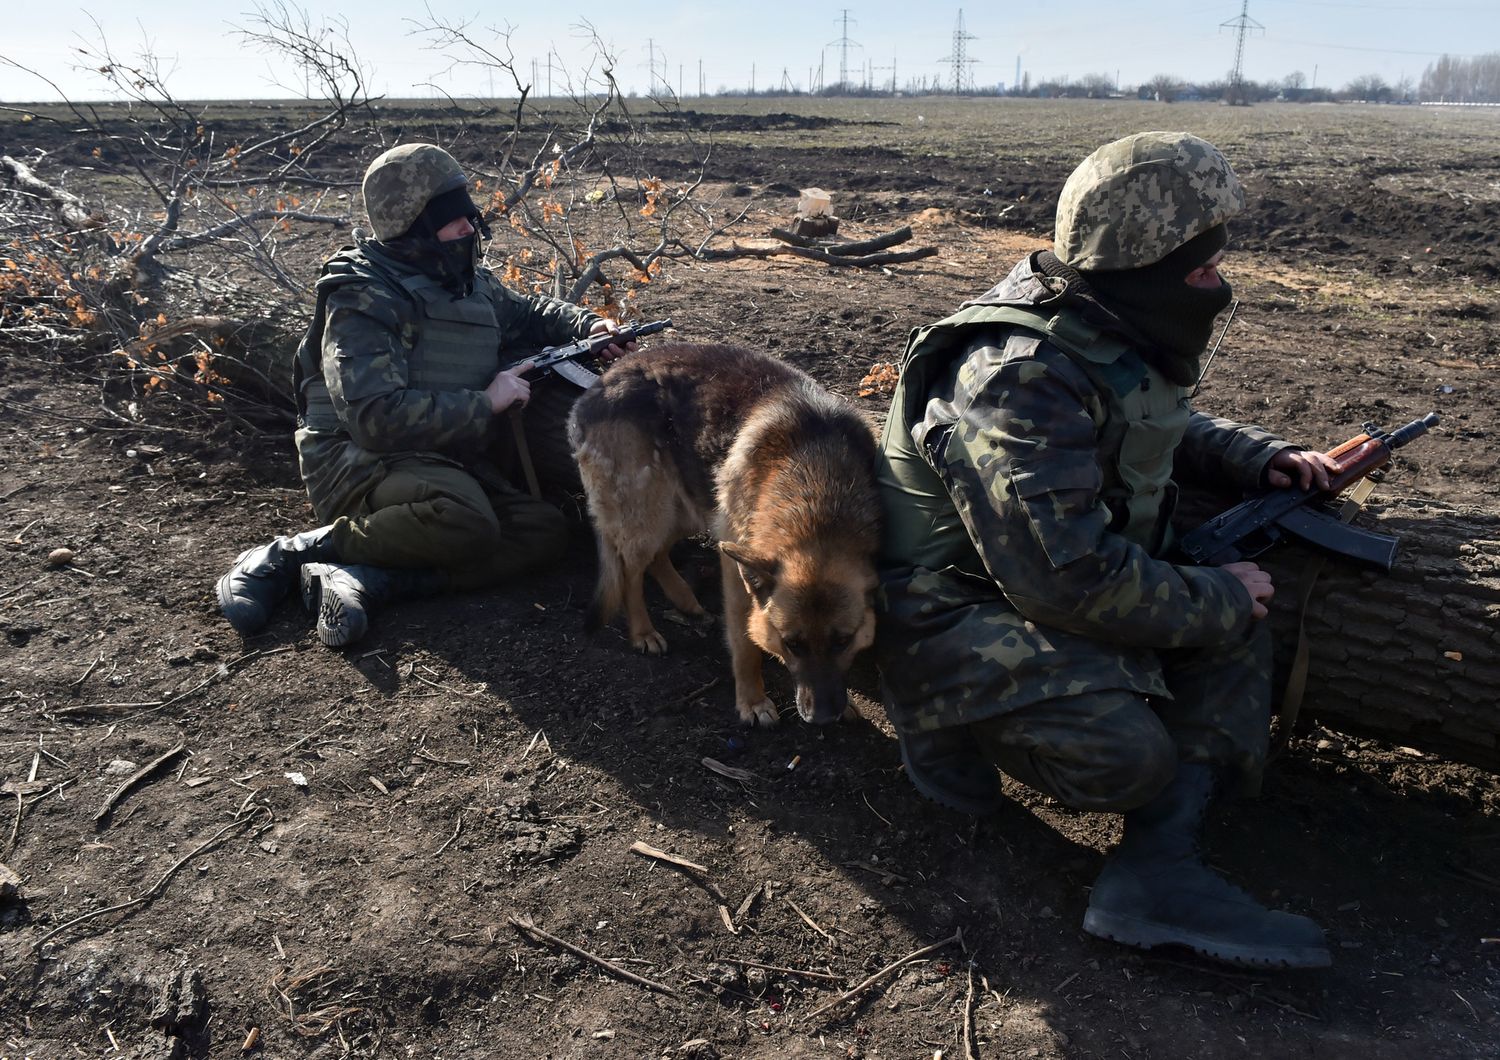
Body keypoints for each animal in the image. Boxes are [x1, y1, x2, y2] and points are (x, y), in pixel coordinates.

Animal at [567, 344, 882, 725]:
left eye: (843, 642)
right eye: (792, 643)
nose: (820, 718)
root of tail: (598, 385)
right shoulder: (735, 572)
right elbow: (745, 642)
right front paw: (752, 701)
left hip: (693, 508)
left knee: (657, 555)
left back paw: (685, 600)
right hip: (650, 514)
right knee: (631, 570)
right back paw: (642, 632)